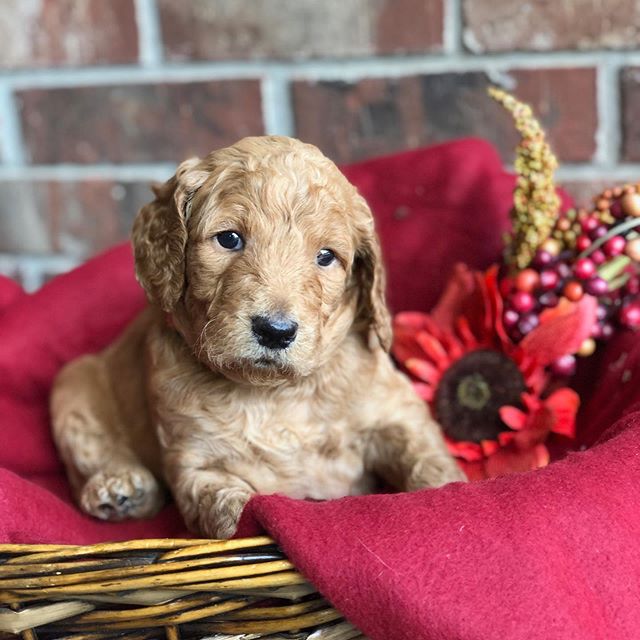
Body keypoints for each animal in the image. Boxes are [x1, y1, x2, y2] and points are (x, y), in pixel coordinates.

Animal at [47, 136, 462, 540]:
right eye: (229, 239)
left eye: (326, 257)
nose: (275, 331)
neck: (273, 394)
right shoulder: (193, 458)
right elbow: (223, 504)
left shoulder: (394, 407)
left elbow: (422, 450)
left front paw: (448, 484)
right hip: (74, 383)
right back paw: (119, 487)